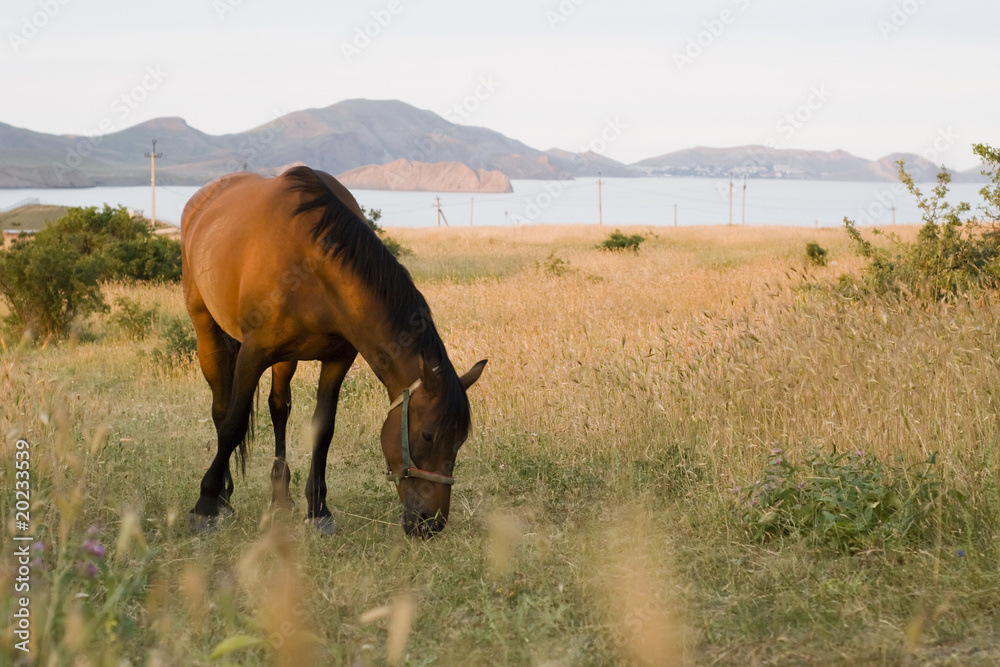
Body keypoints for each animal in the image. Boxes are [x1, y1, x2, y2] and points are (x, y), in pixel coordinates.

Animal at [180, 165, 486, 537]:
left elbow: (323, 429)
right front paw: (205, 504)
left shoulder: (337, 360)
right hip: (206, 329)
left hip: (285, 358)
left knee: (278, 408)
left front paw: (318, 509)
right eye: (427, 435)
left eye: (460, 441)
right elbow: (233, 425)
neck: (312, 263)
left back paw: (281, 496)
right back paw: (223, 497)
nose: (432, 523)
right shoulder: (253, 354)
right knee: (221, 408)